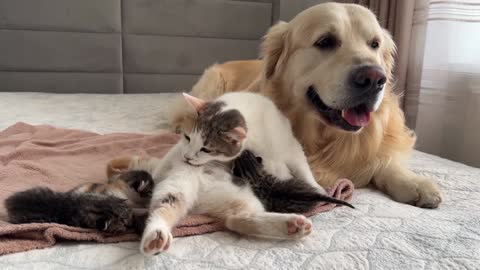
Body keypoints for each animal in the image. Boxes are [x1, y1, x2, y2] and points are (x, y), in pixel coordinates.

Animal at [120, 93, 354, 255]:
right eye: (187, 137)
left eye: (206, 149)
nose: (187, 158)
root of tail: (199, 190)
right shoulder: (178, 150)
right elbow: (169, 157)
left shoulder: (289, 147)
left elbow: (301, 168)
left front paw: (318, 188)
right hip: (175, 186)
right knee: (164, 208)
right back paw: (155, 237)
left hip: (233, 196)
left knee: (236, 219)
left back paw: (292, 226)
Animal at [172, 2, 442, 209]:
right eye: (325, 41)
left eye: (374, 44)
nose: (374, 78)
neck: (324, 136)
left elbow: (384, 160)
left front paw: (413, 182)